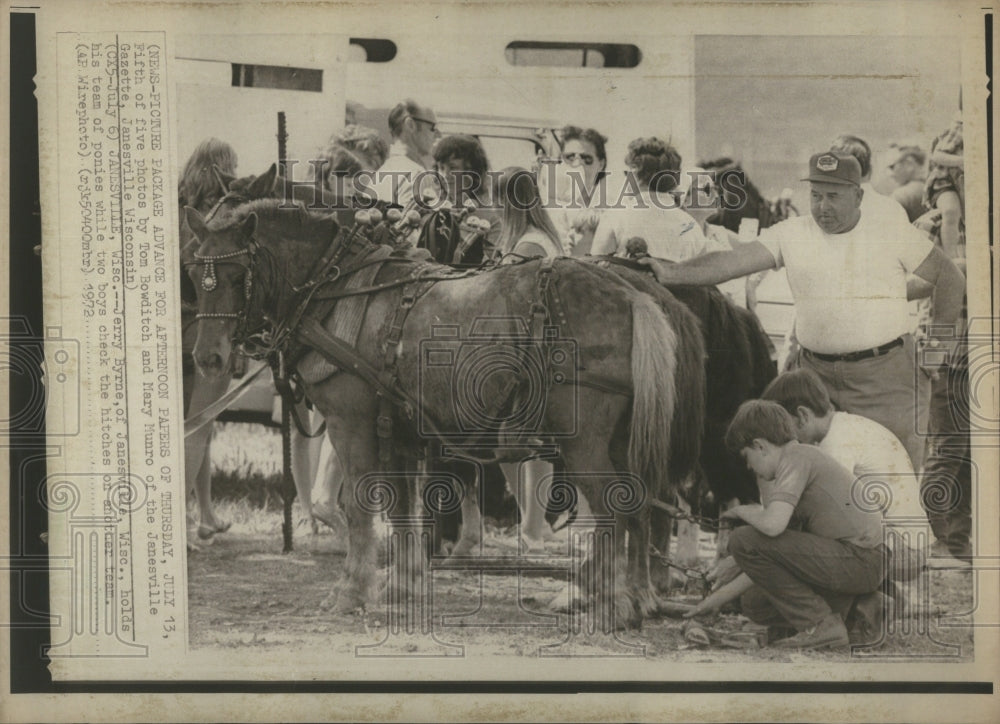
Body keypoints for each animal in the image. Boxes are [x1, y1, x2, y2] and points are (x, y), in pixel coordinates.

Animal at [184, 194, 708, 628]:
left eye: (237, 276)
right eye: (194, 275)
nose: (208, 357)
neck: (341, 291)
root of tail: (633, 294)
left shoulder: (350, 423)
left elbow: (359, 507)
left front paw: (352, 591)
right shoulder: (396, 430)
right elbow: (400, 508)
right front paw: (401, 584)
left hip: (583, 445)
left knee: (613, 510)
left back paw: (610, 606)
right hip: (623, 440)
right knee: (639, 507)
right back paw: (633, 598)